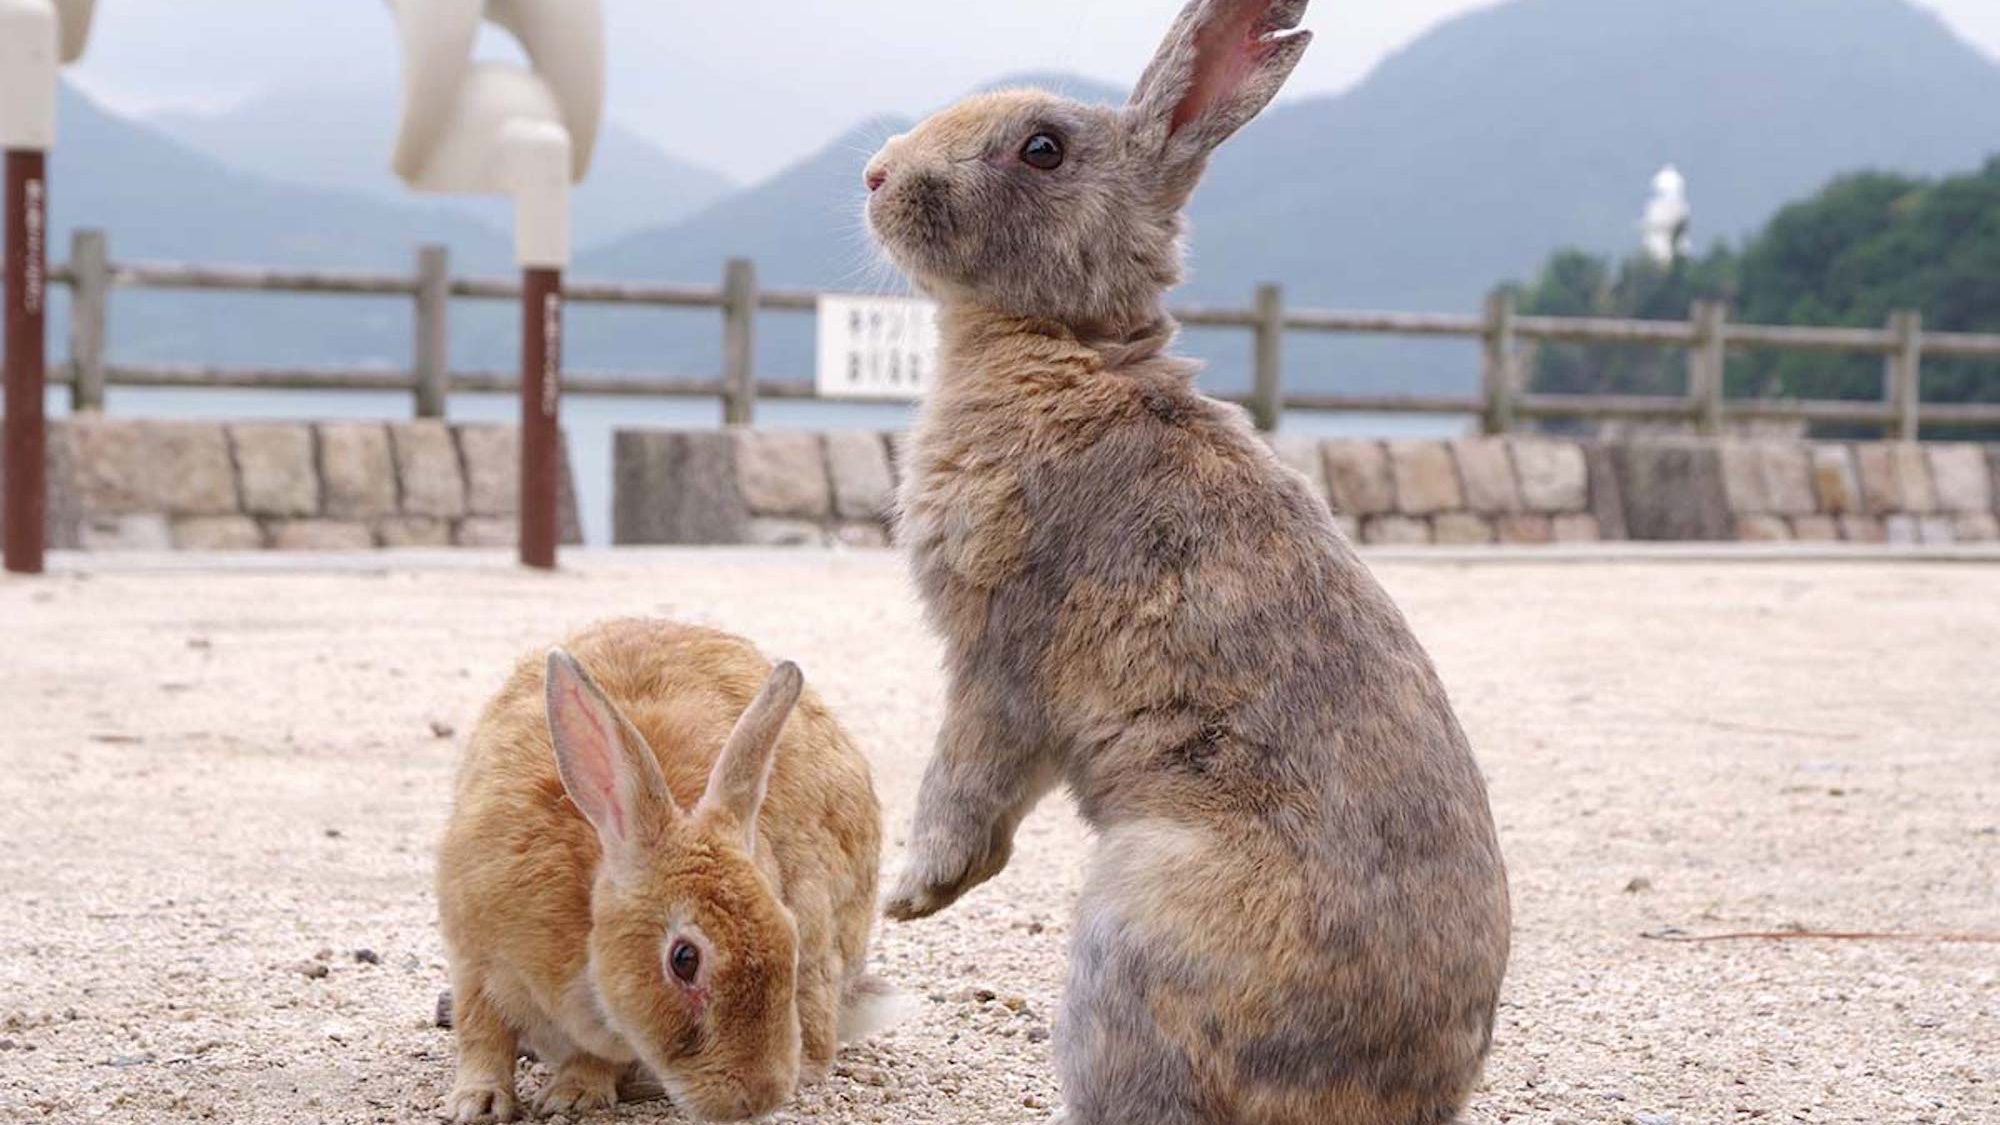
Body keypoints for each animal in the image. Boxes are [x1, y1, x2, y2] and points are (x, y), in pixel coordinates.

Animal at [448, 616, 908, 1112]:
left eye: (790, 938)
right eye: (684, 960)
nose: (761, 1097)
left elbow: (592, 1055)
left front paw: (575, 1095)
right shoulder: (475, 956)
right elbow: (481, 1031)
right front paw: (478, 1102)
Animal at [868, 2, 1504, 1120]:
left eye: (1042, 148)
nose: (874, 175)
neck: (1069, 340)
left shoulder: (999, 654)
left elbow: (966, 780)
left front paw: (907, 897)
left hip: (1133, 931)